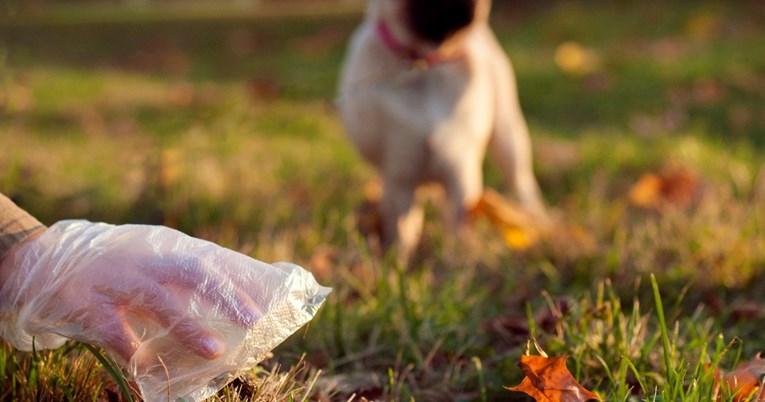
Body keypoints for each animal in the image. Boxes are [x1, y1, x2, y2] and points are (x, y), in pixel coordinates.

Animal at [338, 0, 548, 262]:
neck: (426, 62)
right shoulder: (401, 177)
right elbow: (401, 227)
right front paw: (399, 261)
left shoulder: (460, 173)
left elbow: (458, 224)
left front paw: (456, 258)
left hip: (507, 138)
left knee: (520, 182)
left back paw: (536, 218)